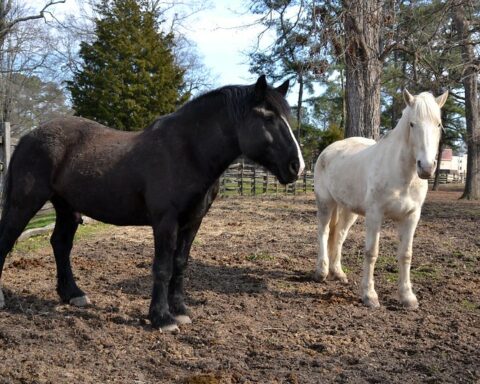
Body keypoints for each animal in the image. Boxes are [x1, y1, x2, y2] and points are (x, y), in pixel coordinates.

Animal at [0, 75, 304, 330]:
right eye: (267, 116)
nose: (296, 166)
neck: (188, 152)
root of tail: (27, 137)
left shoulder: (193, 222)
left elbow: (180, 264)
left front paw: (180, 309)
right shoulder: (165, 221)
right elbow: (163, 267)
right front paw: (161, 317)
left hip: (66, 207)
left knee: (60, 244)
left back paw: (73, 294)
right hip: (23, 204)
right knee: (8, 240)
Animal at [314, 90, 448, 308]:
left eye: (438, 124)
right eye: (412, 124)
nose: (426, 167)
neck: (402, 175)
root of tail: (328, 150)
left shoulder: (411, 217)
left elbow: (406, 255)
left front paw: (408, 297)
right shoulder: (375, 215)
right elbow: (371, 253)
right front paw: (370, 296)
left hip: (348, 210)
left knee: (339, 235)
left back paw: (338, 273)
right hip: (326, 203)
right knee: (324, 233)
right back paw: (322, 272)